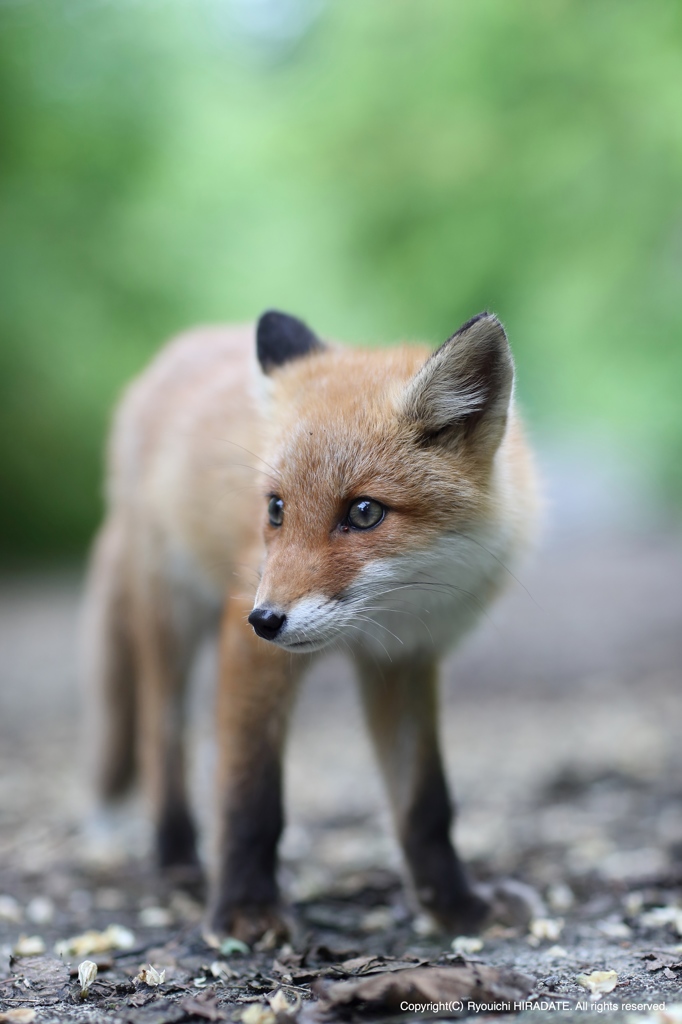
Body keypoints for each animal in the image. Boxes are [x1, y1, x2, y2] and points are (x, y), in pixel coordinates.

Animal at [82, 309, 536, 942]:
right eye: (275, 508)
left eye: (364, 512)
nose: (265, 619)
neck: (376, 623)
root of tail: (178, 350)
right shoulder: (249, 650)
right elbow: (250, 796)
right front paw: (246, 910)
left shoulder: (403, 661)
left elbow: (426, 804)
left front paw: (456, 907)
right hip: (169, 618)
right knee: (160, 738)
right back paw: (177, 860)